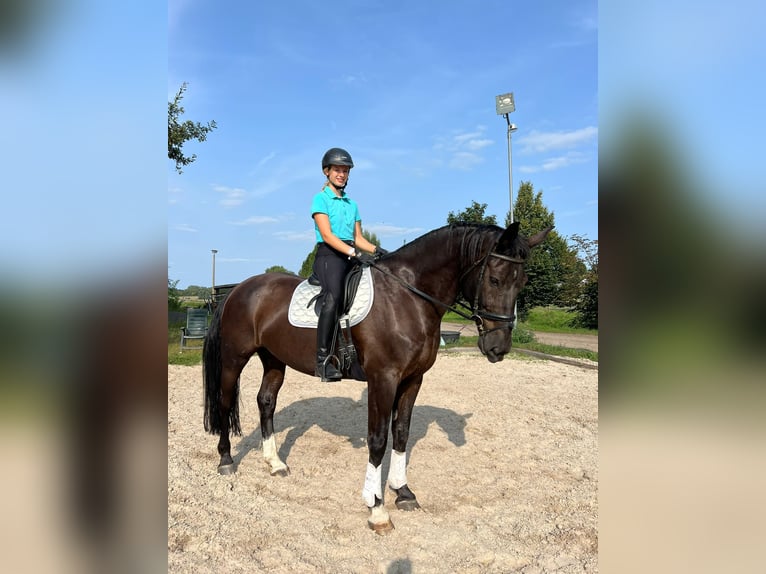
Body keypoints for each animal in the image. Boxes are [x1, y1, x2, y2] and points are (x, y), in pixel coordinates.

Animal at [204, 223, 552, 532]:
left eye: (522, 283)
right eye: (494, 279)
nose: (498, 347)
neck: (408, 297)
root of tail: (239, 289)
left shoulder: (413, 379)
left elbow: (401, 433)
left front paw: (403, 491)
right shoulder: (383, 379)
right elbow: (378, 439)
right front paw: (377, 508)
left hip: (274, 359)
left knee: (266, 401)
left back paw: (275, 463)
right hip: (235, 359)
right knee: (224, 401)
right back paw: (226, 460)